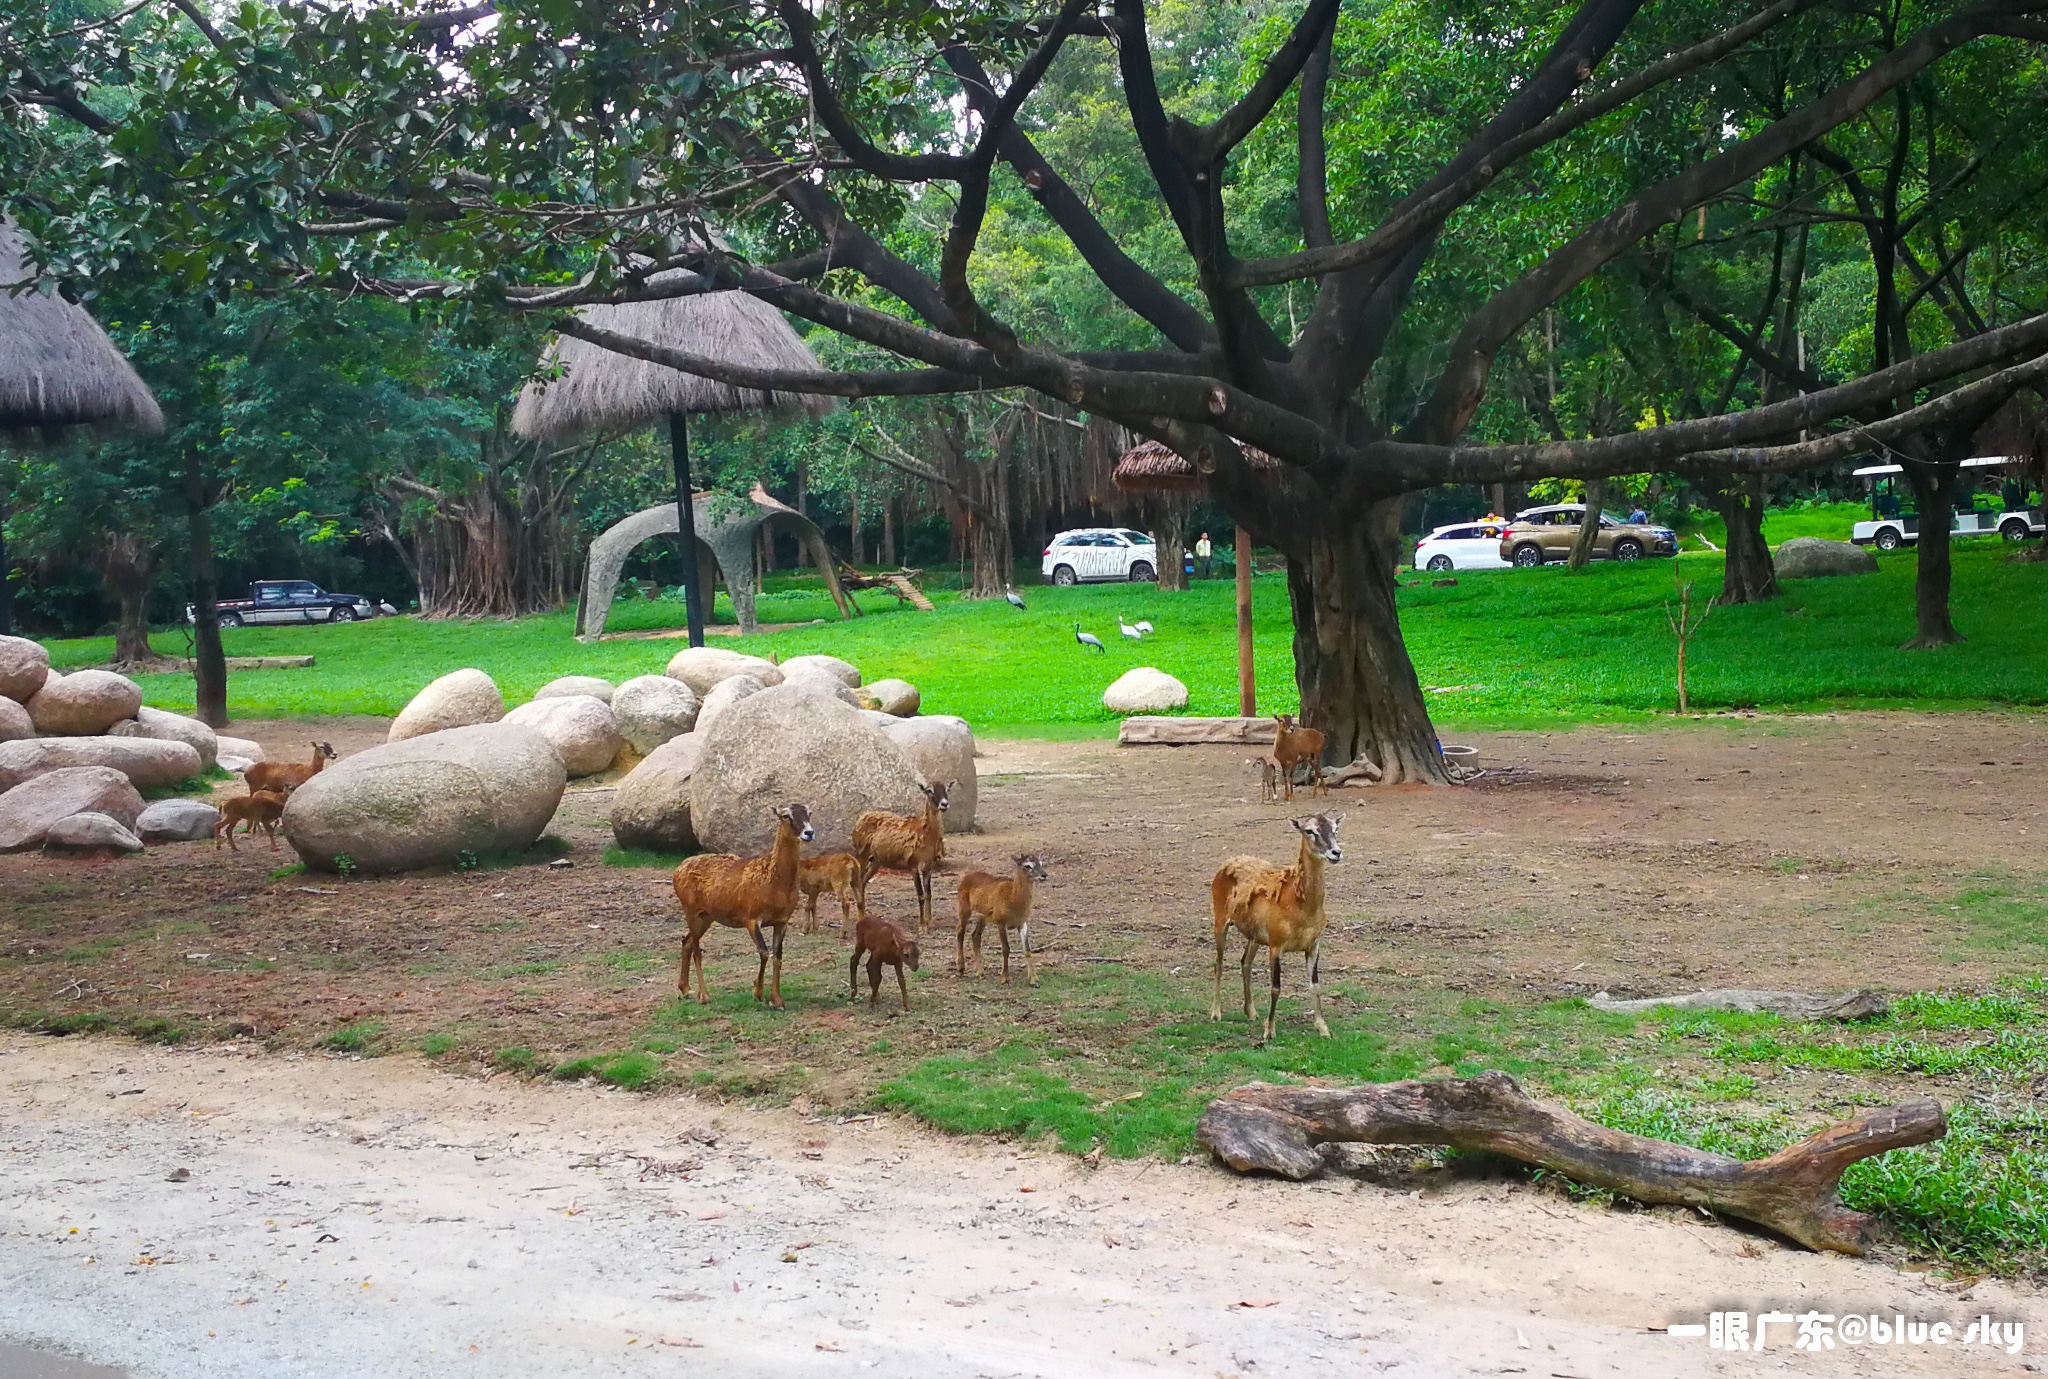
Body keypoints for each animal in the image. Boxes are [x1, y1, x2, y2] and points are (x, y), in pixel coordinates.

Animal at [671, 803, 815, 1004]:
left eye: (809, 813)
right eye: (786, 816)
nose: (809, 832)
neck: (775, 883)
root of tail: (677, 870)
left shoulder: (782, 921)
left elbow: (778, 957)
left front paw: (777, 999)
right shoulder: (751, 918)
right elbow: (764, 952)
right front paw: (758, 992)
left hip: (706, 916)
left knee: (687, 942)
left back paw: (685, 989)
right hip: (690, 909)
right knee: (697, 950)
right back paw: (704, 996)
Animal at [847, 778, 950, 930]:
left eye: (947, 789)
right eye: (929, 791)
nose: (944, 804)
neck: (926, 833)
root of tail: (862, 817)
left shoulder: (929, 867)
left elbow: (929, 894)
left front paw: (930, 921)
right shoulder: (913, 865)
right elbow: (920, 895)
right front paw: (922, 926)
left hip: (876, 860)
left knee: (863, 881)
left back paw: (864, 914)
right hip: (862, 854)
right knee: (858, 883)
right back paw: (860, 915)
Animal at [1212, 807, 1343, 1045]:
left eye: (1335, 828)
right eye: (1309, 831)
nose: (1335, 852)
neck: (1301, 909)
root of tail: (1227, 863)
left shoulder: (1314, 944)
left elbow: (1315, 985)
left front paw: (1324, 1029)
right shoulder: (1276, 943)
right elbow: (1275, 987)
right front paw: (1269, 1031)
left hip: (1255, 935)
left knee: (1245, 961)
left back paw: (1251, 1012)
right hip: (1220, 920)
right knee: (1218, 963)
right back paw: (1216, 1013)